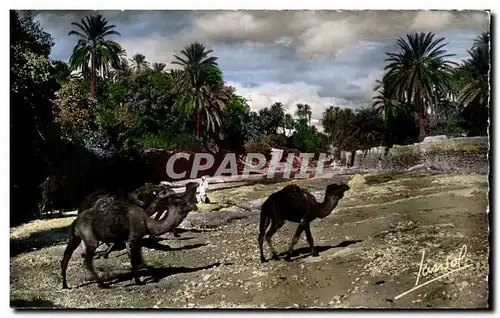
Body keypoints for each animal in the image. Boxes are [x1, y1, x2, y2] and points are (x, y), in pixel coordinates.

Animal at [60, 185, 197, 290]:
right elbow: (136, 260)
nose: (195, 206)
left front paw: (141, 278)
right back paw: (102, 284)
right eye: (183, 203)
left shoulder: (129, 240)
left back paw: (66, 285)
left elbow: (135, 259)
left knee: (66, 258)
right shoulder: (134, 237)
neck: (147, 222)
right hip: (90, 238)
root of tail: (75, 222)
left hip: (75, 238)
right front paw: (142, 280)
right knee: (87, 261)